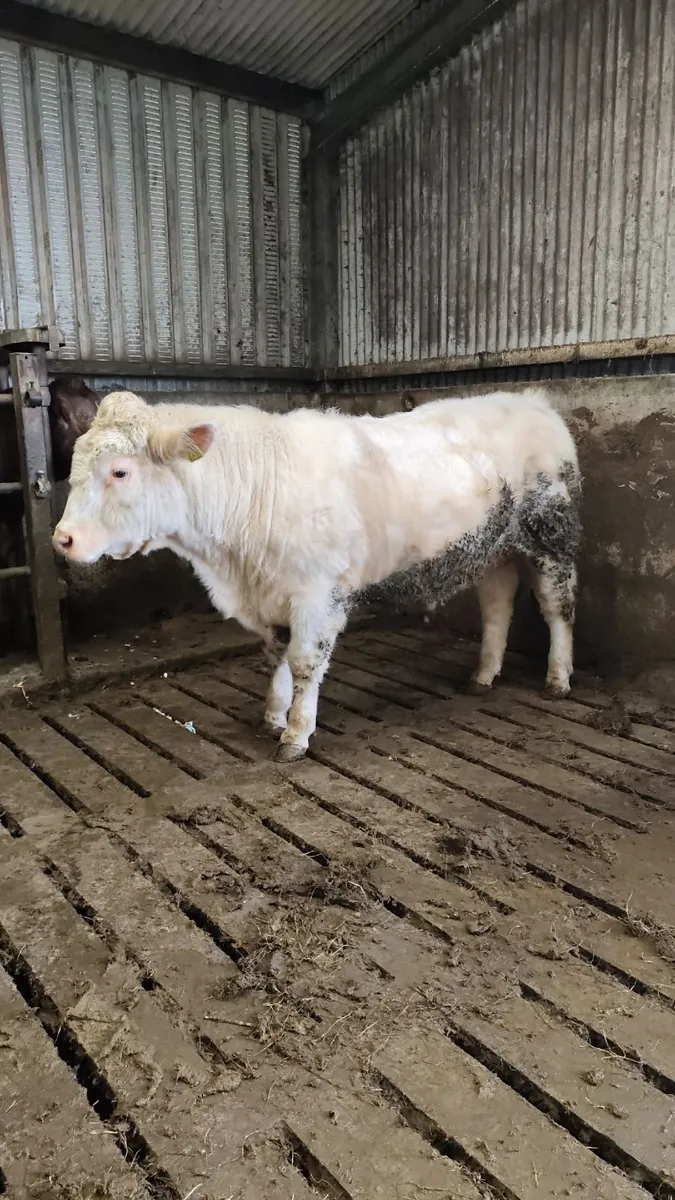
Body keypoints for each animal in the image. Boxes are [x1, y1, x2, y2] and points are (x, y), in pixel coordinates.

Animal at [53, 388, 581, 761]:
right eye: (75, 466)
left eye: (120, 472)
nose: (62, 538)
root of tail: (532, 401)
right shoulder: (271, 596)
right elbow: (277, 657)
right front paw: (273, 713)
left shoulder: (316, 593)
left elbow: (306, 662)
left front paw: (296, 734)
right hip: (496, 550)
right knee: (497, 606)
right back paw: (484, 674)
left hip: (553, 539)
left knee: (557, 608)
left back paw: (557, 678)